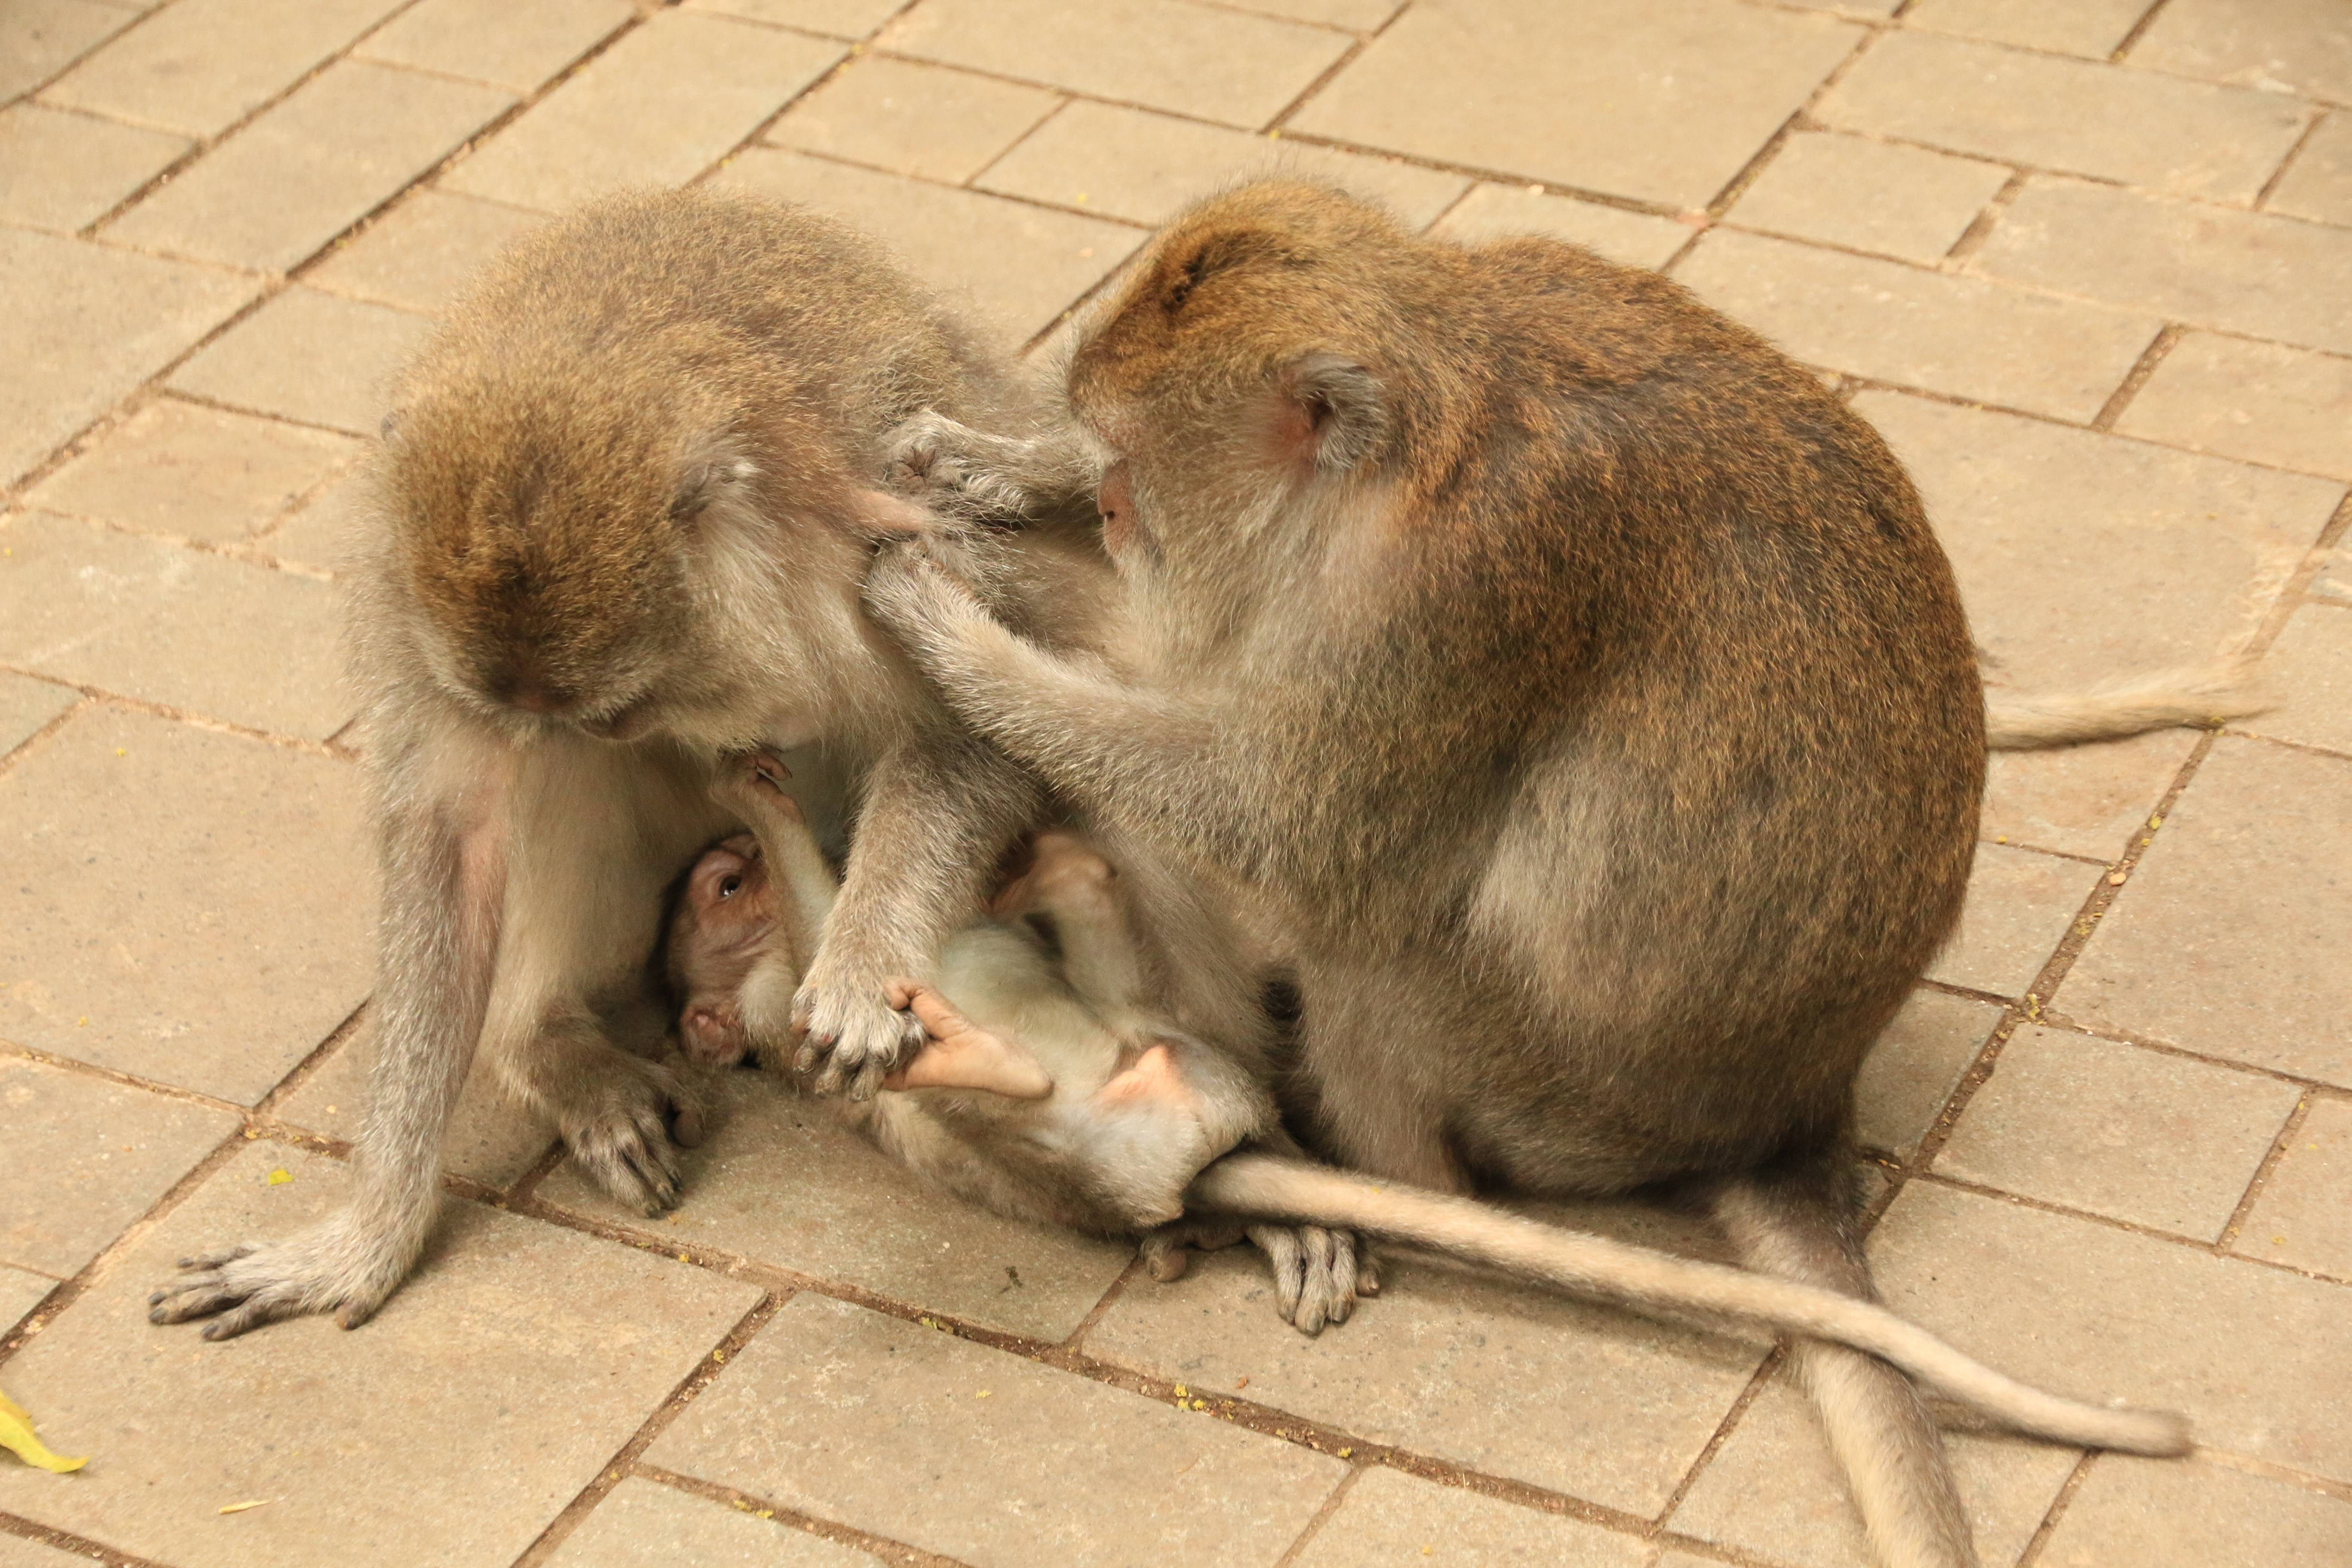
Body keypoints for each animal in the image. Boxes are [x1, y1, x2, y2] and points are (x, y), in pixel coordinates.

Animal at [145, 188, 1130, 1342]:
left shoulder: (894, 519)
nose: (581, 726)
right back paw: (547, 1043)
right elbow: (452, 837)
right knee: (563, 789)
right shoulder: (414, 607)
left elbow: (983, 719)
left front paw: (858, 964)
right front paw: (367, 1237)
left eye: (625, 702)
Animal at [667, 750, 2186, 1462]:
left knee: (1099, 959)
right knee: (1006, 1107)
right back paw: (962, 1065)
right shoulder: (774, 1000)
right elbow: (812, 979)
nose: (727, 857)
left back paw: (1043, 898)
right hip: (1068, 1151)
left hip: (1171, 1047)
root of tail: (1182, 1162)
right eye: (718, 889)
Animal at [856, 179, 2194, 1568]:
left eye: (1140, 458)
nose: (1113, 508)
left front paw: (951, 627)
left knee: (1376, 949)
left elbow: (1289, 821)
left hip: (1548, 1091)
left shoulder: (1450, 591)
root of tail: (1793, 1108)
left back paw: (1366, 1177)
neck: (1425, 423)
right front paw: (996, 469)